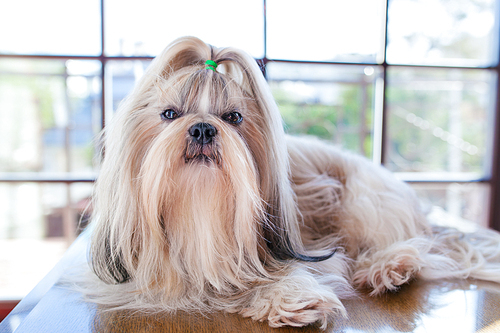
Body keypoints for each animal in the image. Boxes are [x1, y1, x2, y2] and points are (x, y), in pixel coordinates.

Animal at [89, 35, 500, 326]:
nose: (203, 128)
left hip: (365, 201)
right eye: (170, 114)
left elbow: (294, 271)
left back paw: (389, 266)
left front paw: (290, 296)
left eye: (233, 117)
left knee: (410, 246)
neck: (199, 213)